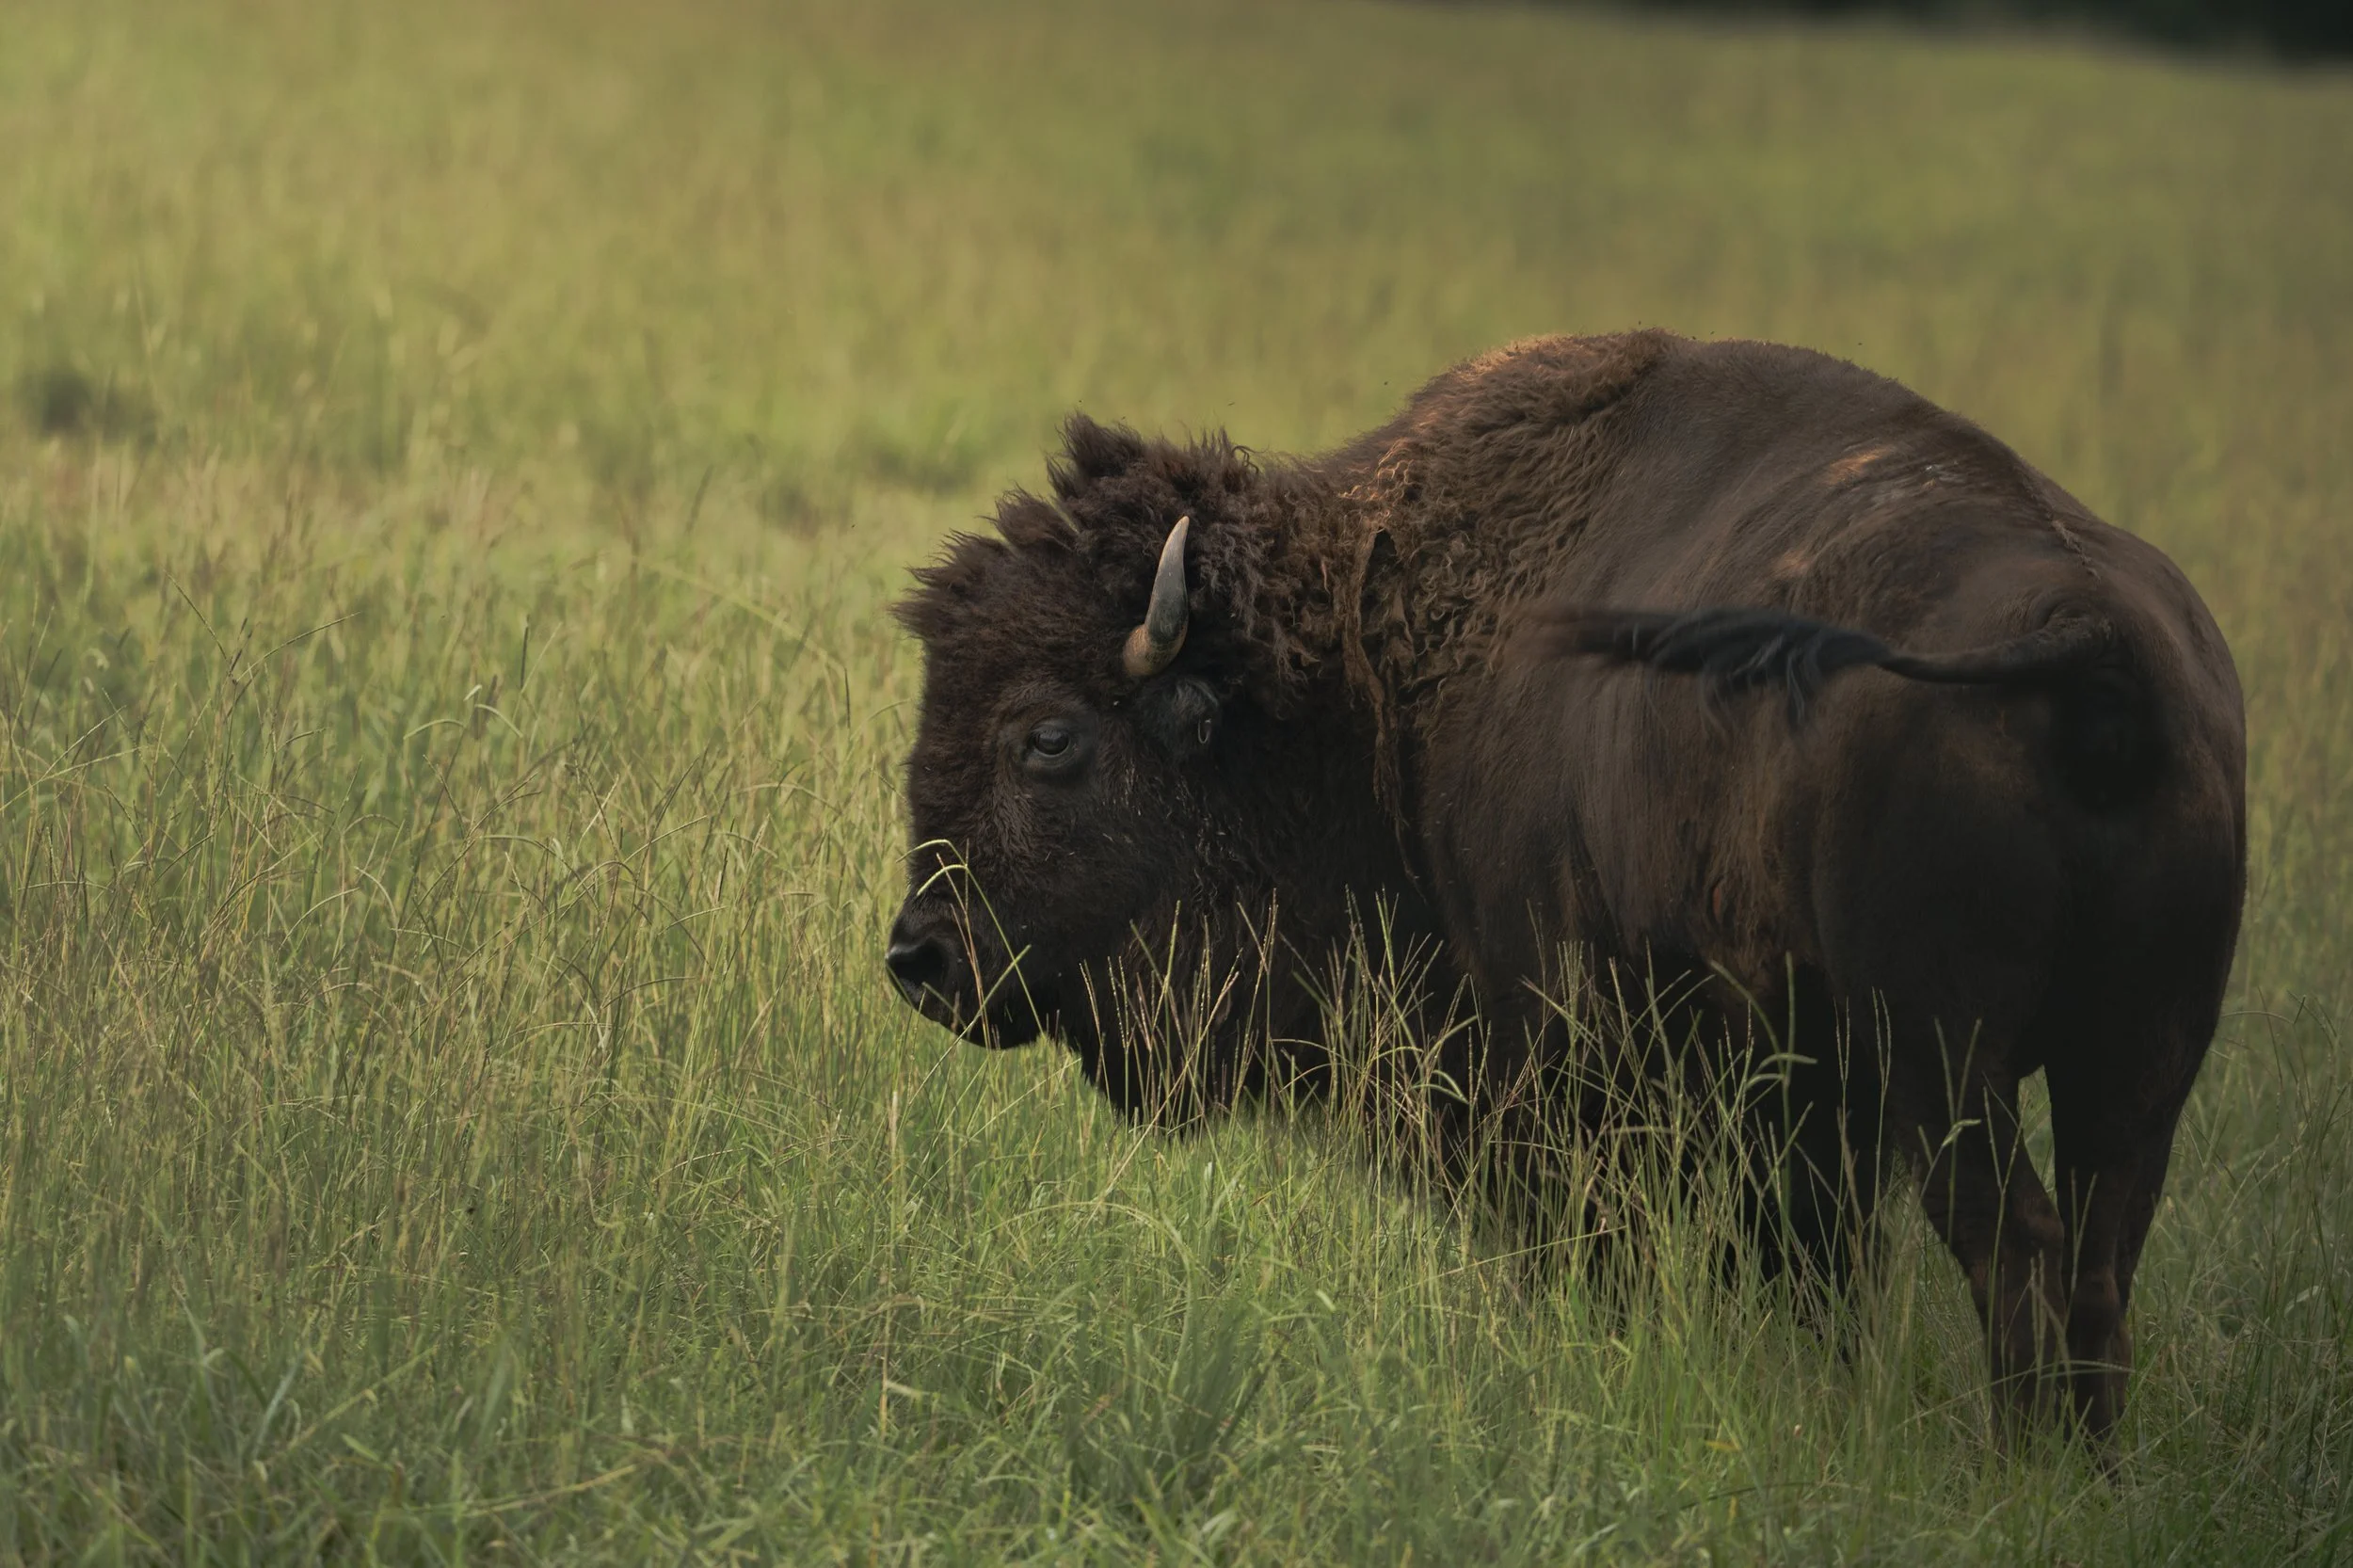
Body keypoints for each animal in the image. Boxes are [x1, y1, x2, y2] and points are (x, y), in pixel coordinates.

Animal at [886, 331, 2245, 1445]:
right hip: (2139, 1060)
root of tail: (2092, 636)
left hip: (1940, 1061)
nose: (919, 957)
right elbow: (1804, 1273)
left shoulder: (1567, 1067)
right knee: (2098, 1260)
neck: (1362, 674)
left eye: (1047, 738)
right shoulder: (1788, 1104)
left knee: (2013, 1246)